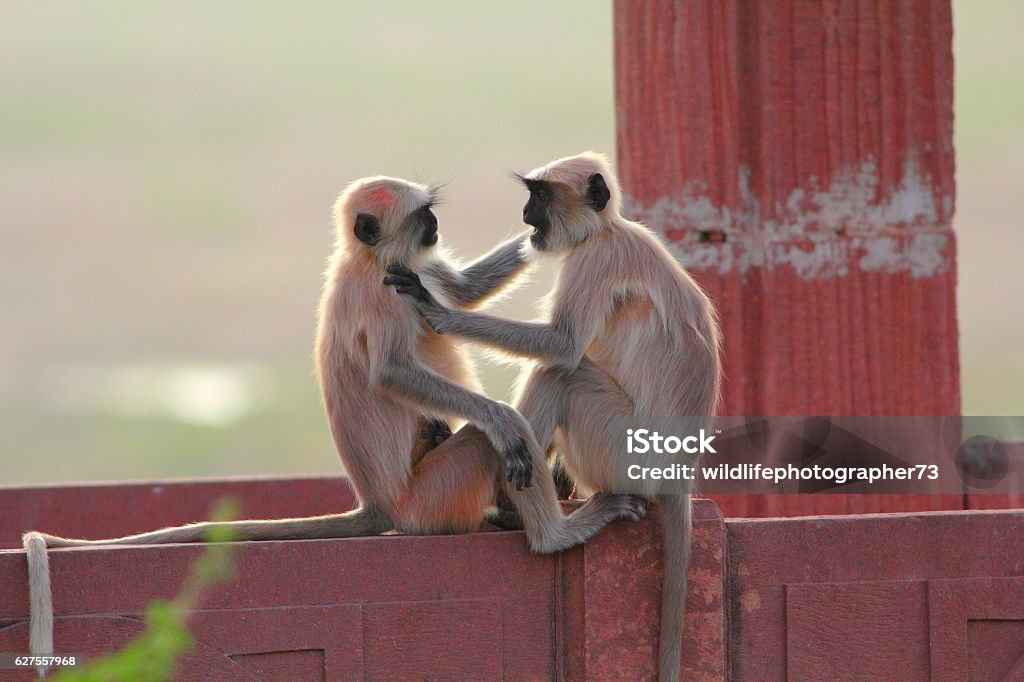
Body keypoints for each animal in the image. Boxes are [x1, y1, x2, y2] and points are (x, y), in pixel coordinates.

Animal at [21, 174, 646, 672]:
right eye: (421, 216)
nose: (435, 225)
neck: (365, 261)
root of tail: (380, 504)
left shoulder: (406, 274)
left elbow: (462, 291)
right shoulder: (385, 292)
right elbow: (394, 372)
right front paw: (502, 417)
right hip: (432, 497)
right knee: (485, 443)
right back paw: (545, 521)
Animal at [387, 153, 721, 682]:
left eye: (540, 197)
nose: (526, 216)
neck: (606, 230)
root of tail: (678, 476)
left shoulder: (596, 261)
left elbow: (562, 346)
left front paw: (434, 307)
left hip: (618, 450)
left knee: (563, 374)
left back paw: (539, 526)